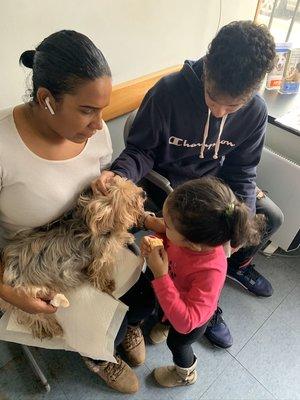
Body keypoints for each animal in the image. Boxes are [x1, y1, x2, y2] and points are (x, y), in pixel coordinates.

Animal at [0, 177, 145, 340]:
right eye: (131, 201)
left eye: (133, 185)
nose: (144, 193)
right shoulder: (101, 258)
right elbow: (99, 272)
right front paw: (106, 284)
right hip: (28, 293)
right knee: (31, 314)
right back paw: (49, 327)